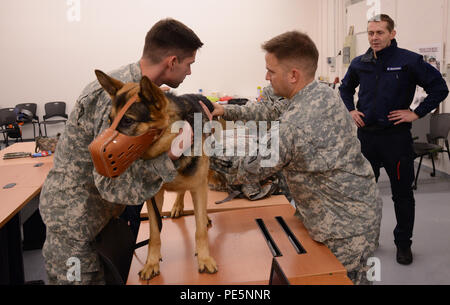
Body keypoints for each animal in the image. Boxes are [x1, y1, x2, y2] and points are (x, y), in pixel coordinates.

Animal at [95, 70, 218, 280]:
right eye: (110, 121)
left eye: (128, 120)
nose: (96, 156)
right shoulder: (153, 198)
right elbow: (154, 234)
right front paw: (151, 262)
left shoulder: (198, 187)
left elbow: (200, 229)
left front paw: (204, 258)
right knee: (181, 190)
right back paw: (177, 206)